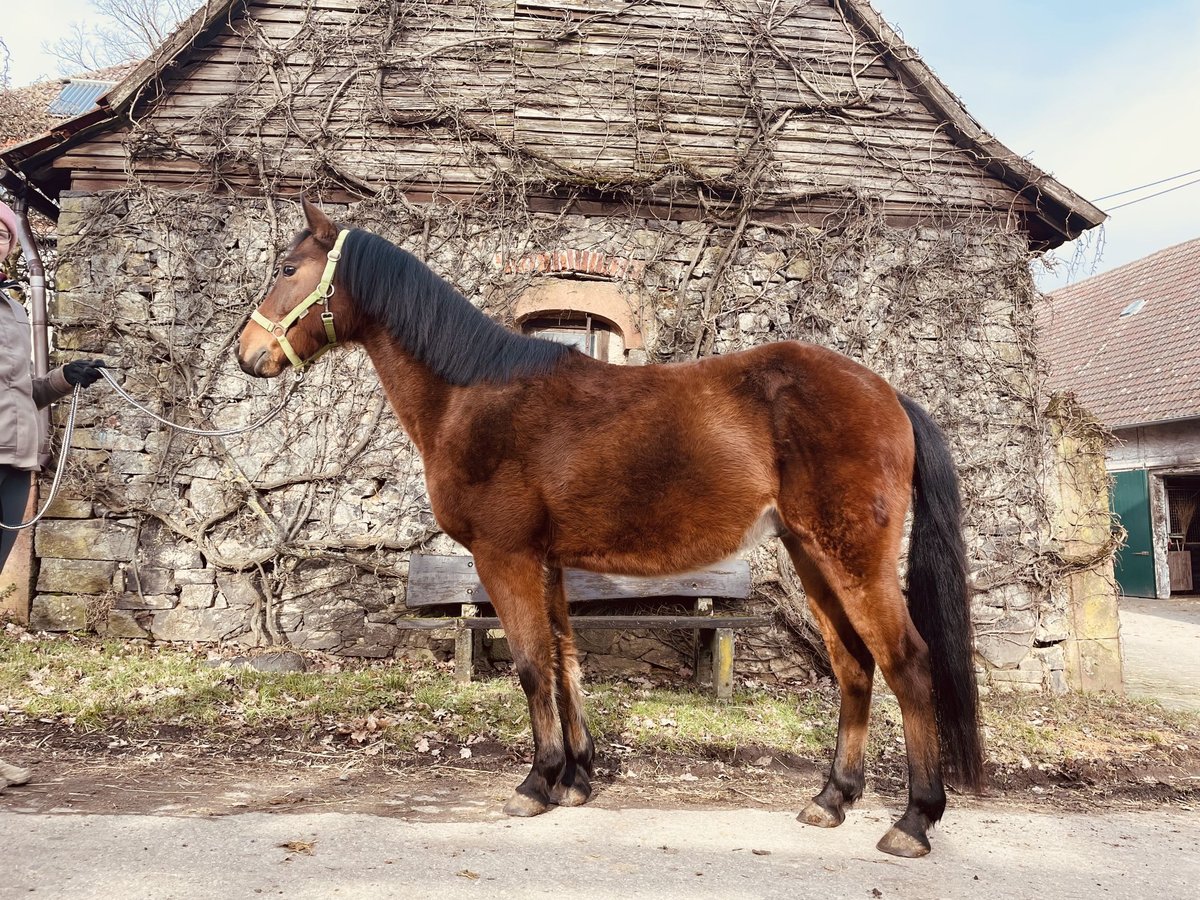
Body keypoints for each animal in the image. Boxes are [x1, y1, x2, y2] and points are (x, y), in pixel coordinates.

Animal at [236, 200, 984, 864]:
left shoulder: (505, 556)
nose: (246, 354)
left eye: (287, 267)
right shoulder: (548, 562)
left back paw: (914, 821)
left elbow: (532, 665)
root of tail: (886, 394)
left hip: (852, 557)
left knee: (908, 663)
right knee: (854, 666)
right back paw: (831, 798)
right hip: (811, 556)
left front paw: (536, 782)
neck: (473, 394)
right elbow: (565, 661)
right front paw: (576, 778)